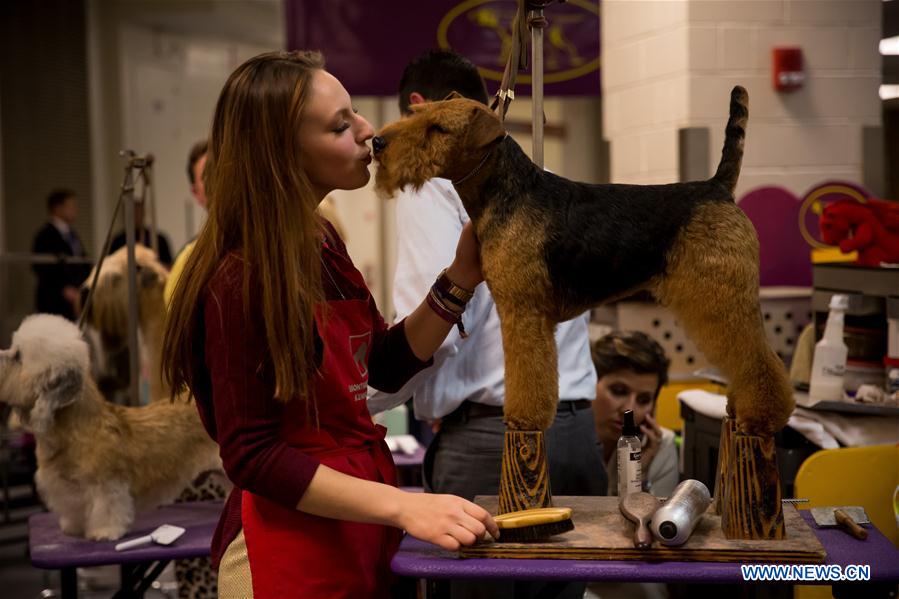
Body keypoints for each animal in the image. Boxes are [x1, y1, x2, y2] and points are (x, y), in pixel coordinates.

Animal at [0, 316, 221, 540]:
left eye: (18, 356)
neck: (77, 429)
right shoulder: (67, 490)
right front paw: (73, 527)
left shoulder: (106, 484)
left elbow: (107, 509)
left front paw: (104, 531)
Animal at [374, 88, 796, 436]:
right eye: (418, 113)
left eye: (439, 128)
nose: (377, 142)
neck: (509, 190)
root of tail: (718, 187)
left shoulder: (524, 312)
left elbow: (527, 374)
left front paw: (523, 418)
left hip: (720, 296)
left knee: (756, 360)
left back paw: (761, 416)